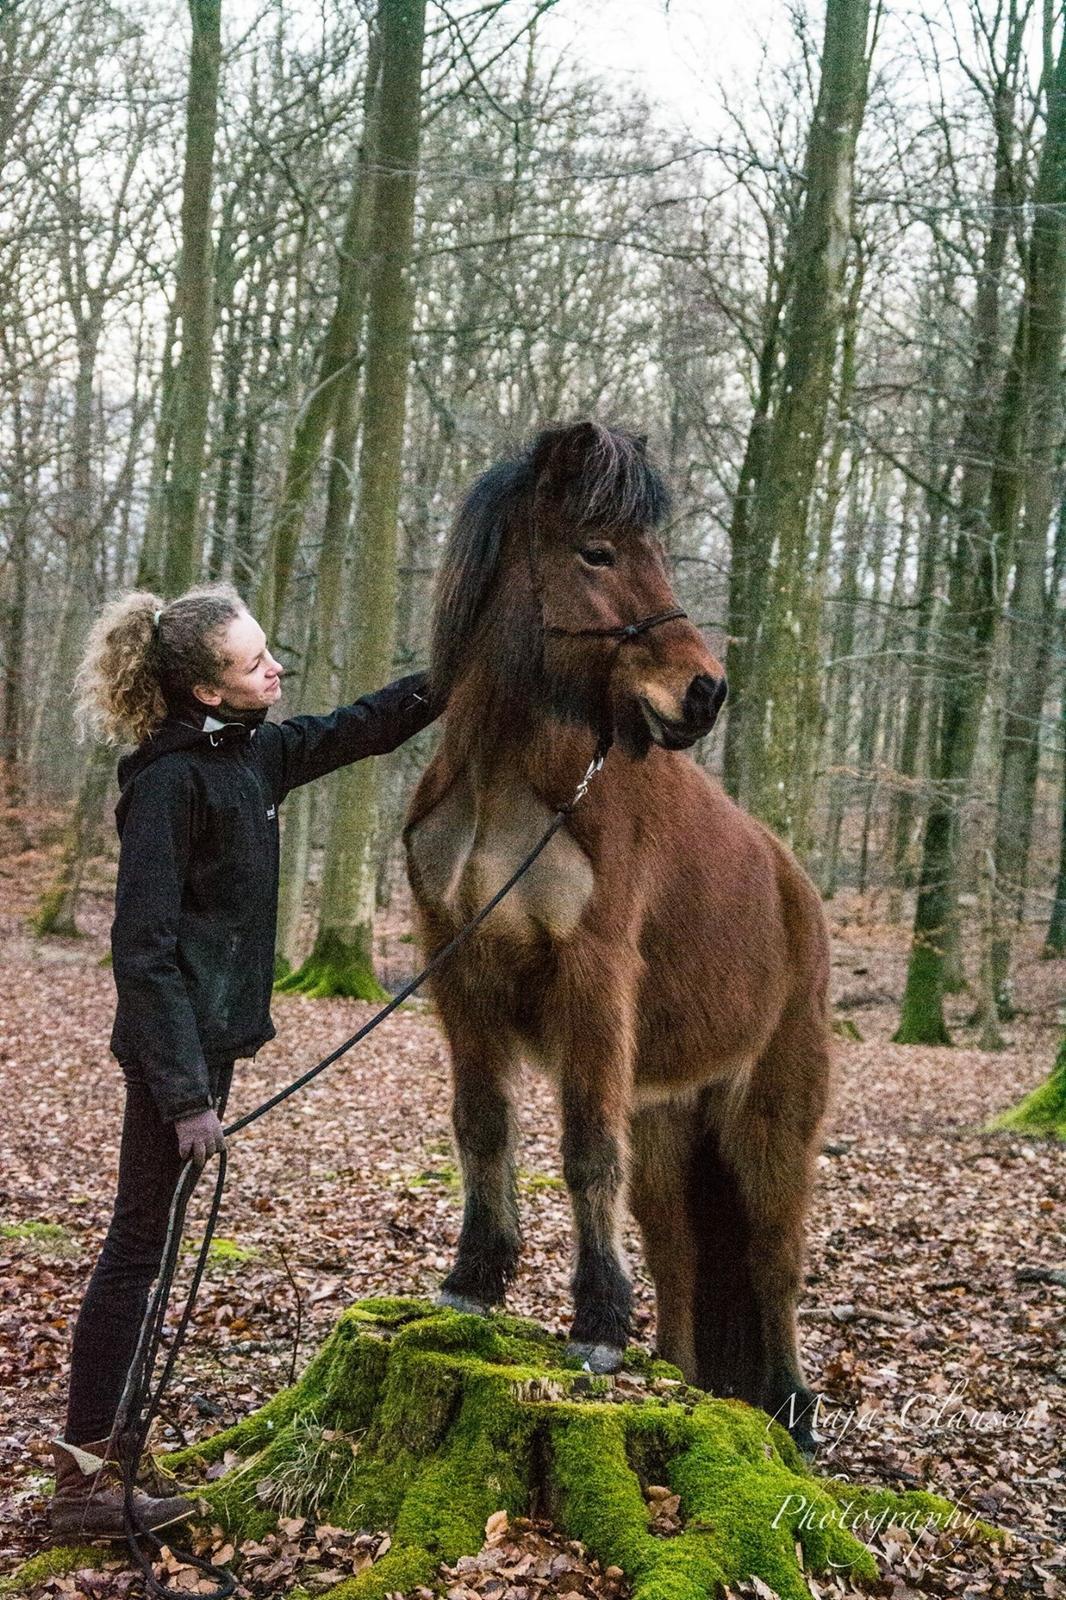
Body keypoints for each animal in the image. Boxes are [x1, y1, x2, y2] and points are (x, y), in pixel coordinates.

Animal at [404, 422, 832, 1452]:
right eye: (597, 552)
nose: (705, 692)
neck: (507, 786)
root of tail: (797, 889)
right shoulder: (456, 970)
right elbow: (483, 1126)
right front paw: (473, 1284)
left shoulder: (592, 977)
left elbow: (584, 1148)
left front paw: (595, 1327)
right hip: (674, 1126)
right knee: (681, 1253)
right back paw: (683, 1378)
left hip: (771, 1120)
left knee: (775, 1256)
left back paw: (794, 1414)